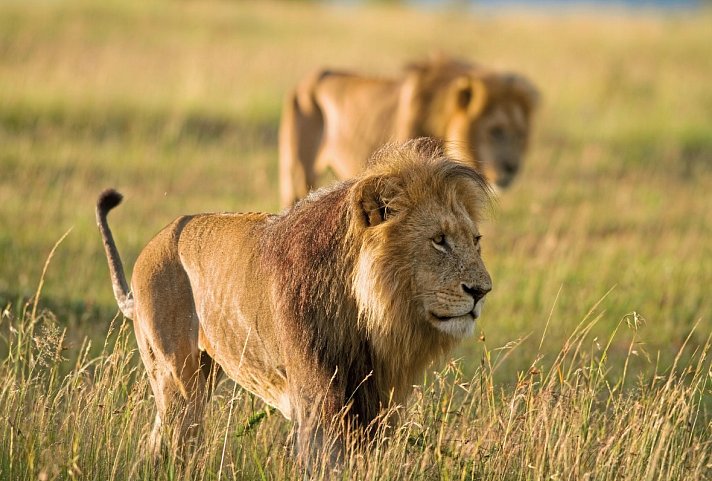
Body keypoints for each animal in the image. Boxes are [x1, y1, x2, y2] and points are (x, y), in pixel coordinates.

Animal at [96, 139, 493, 466]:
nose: (482, 290)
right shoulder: (316, 398)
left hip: (204, 373)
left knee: (156, 441)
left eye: (476, 240)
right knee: (178, 435)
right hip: (176, 377)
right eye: (438, 240)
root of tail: (156, 241)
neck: (368, 314)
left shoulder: (374, 399)